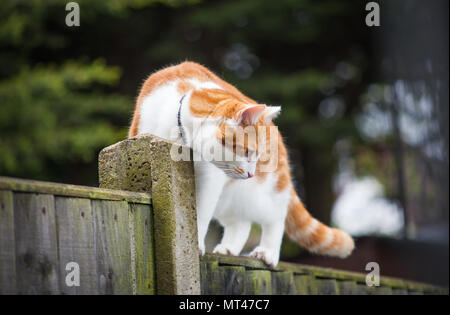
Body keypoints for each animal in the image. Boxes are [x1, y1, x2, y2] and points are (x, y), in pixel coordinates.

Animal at [128, 62, 354, 270]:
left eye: (257, 155)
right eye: (247, 152)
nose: (251, 173)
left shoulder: (209, 179)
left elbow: (201, 211)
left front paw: (196, 244)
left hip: (266, 193)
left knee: (276, 217)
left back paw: (268, 251)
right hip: (229, 199)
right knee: (241, 223)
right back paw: (228, 248)